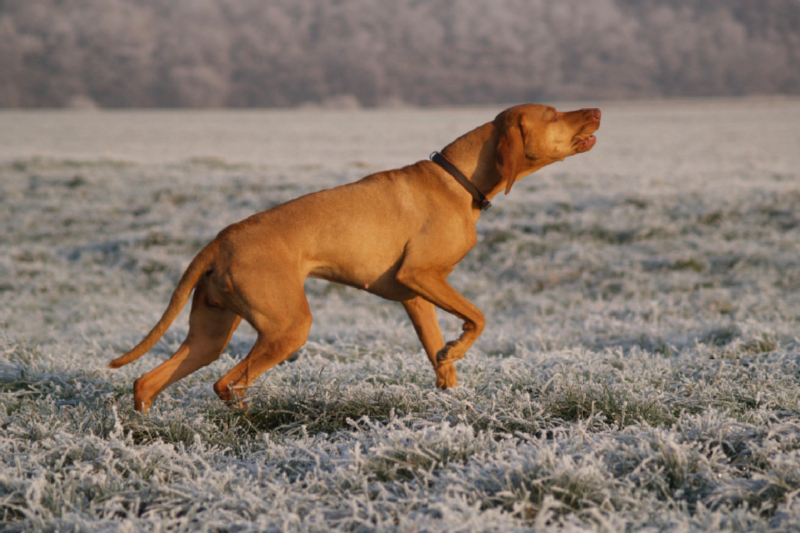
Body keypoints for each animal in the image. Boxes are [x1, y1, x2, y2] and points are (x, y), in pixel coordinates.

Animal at [111, 104, 600, 412]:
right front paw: (458, 346)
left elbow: (439, 359)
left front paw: (451, 394)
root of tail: (220, 239)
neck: (459, 180)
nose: (597, 110)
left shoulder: (416, 296)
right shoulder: (422, 274)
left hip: (209, 336)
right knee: (225, 383)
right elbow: (478, 318)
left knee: (148, 382)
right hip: (288, 327)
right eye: (554, 114)